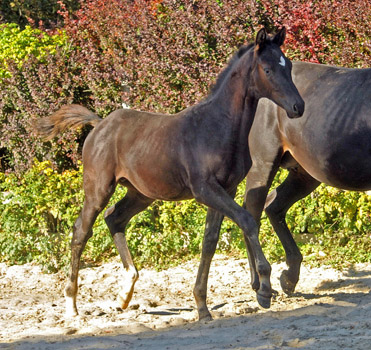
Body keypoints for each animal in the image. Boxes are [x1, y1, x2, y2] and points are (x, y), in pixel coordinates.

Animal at [37, 28, 306, 322]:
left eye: (288, 66)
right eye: (267, 69)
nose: (298, 107)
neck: (217, 126)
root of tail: (99, 125)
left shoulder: (226, 189)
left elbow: (209, 242)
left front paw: (202, 306)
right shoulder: (205, 190)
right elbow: (247, 220)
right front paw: (265, 288)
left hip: (141, 194)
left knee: (114, 218)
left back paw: (125, 293)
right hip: (98, 189)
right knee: (81, 231)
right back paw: (71, 303)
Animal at [243, 62, 370, 296]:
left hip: (304, 173)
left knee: (274, 205)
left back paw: (288, 278)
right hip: (262, 163)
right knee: (252, 214)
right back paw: (259, 284)